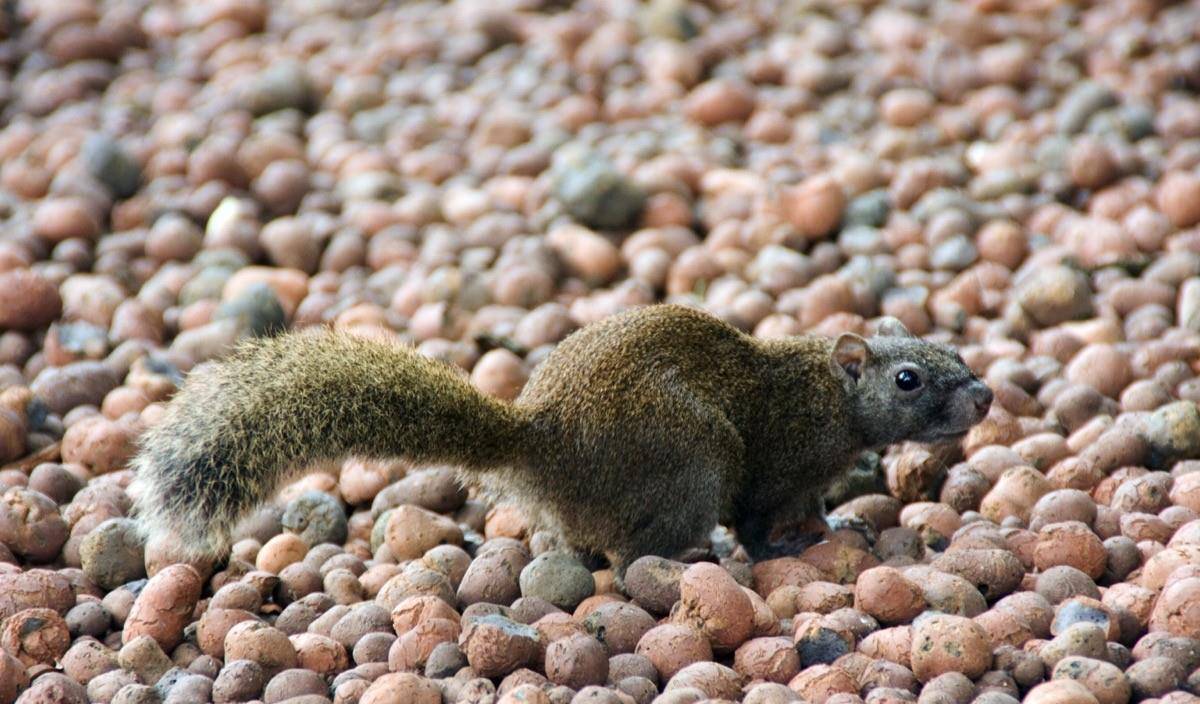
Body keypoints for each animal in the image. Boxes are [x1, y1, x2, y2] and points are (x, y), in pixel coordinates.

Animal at [131, 305, 993, 575]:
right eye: (909, 379)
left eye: (951, 351)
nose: (985, 396)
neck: (825, 398)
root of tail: (541, 443)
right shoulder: (778, 465)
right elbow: (758, 518)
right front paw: (788, 545)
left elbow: (816, 507)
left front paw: (837, 523)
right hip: (695, 458)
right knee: (636, 553)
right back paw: (696, 560)